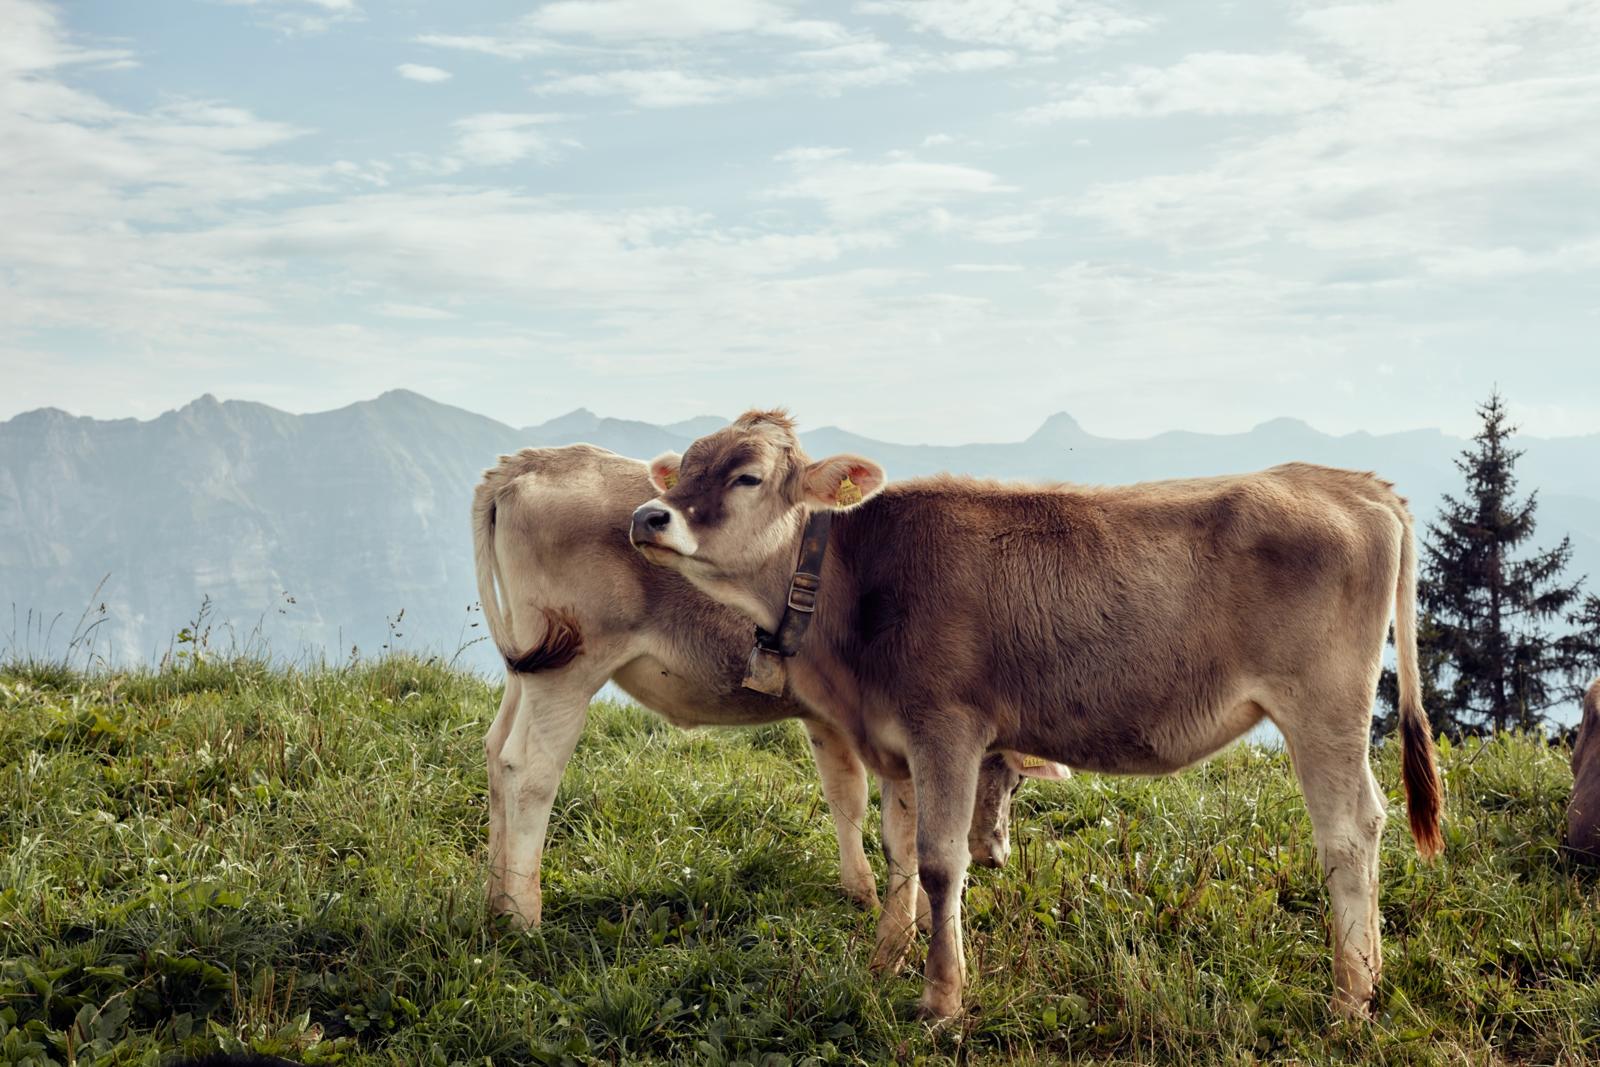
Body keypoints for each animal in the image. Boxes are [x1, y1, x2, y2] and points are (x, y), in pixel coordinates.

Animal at [470, 444, 1036, 928]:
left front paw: (861, 892)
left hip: (529, 666)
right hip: (571, 669)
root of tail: (530, 461)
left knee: (496, 751)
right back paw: (523, 915)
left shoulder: (827, 719)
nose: (997, 855)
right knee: (530, 770)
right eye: (1016, 783)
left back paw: (495, 900)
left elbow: (845, 794)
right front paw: (912, 915)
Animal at [627, 409, 1445, 1022]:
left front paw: (941, 998)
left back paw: (1349, 994)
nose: (647, 515)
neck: (851, 590)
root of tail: (1350, 482)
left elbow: (939, 862)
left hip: (1322, 707)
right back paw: (1367, 977)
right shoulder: (892, 740)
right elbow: (897, 852)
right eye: (687, 466)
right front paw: (884, 961)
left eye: (747, 476)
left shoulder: (947, 728)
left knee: (1348, 833)